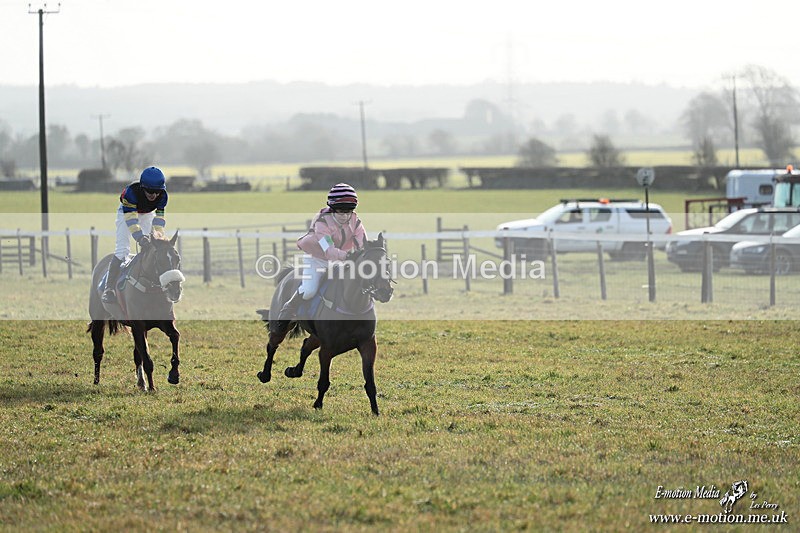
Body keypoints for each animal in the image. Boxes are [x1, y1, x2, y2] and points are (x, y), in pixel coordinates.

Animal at [87, 232, 185, 391]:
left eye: (178, 259)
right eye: (160, 260)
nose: (175, 290)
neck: (151, 291)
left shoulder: (164, 322)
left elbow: (175, 336)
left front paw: (173, 375)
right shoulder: (138, 325)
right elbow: (147, 358)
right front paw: (152, 387)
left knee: (136, 354)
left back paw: (141, 382)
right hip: (98, 318)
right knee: (98, 351)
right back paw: (96, 381)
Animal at [256, 233, 394, 415]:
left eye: (387, 262)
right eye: (367, 266)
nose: (385, 291)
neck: (353, 305)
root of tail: (289, 272)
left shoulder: (368, 345)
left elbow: (370, 383)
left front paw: (375, 411)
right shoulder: (327, 349)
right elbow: (323, 381)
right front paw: (318, 404)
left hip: (316, 336)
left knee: (305, 346)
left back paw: (293, 371)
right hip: (280, 326)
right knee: (272, 346)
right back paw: (265, 375)